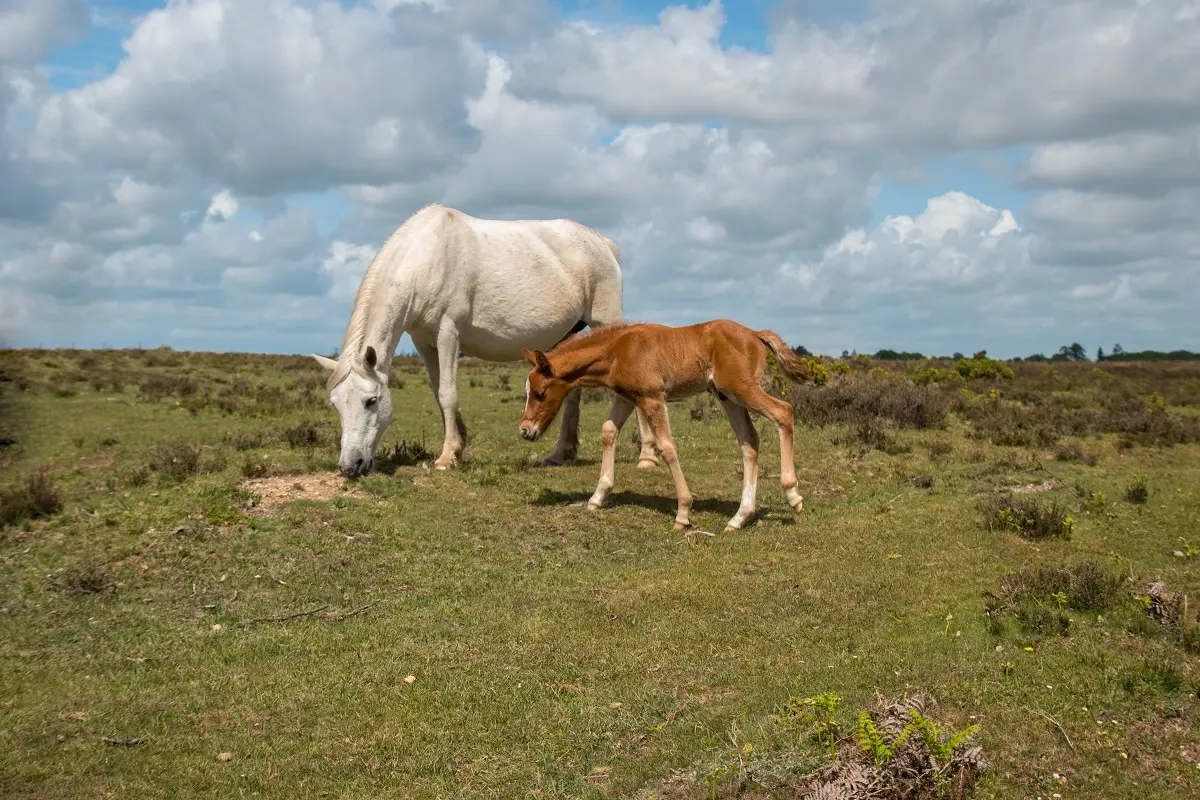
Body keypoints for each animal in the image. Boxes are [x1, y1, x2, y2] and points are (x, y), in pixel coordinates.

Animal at [311, 203, 660, 476]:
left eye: (371, 401)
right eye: (335, 404)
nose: (350, 466)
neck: (426, 260)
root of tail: (602, 243)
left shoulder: (448, 333)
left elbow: (448, 393)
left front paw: (446, 457)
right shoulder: (424, 341)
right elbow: (438, 392)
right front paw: (458, 446)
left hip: (607, 321)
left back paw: (647, 456)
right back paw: (561, 453)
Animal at [518, 320, 817, 532]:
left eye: (540, 393)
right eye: (528, 391)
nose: (525, 430)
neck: (618, 350)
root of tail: (755, 333)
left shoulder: (652, 398)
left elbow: (666, 446)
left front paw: (683, 513)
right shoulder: (627, 398)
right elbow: (608, 430)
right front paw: (597, 496)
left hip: (740, 388)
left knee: (783, 412)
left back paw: (793, 496)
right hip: (727, 395)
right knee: (749, 441)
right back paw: (739, 517)